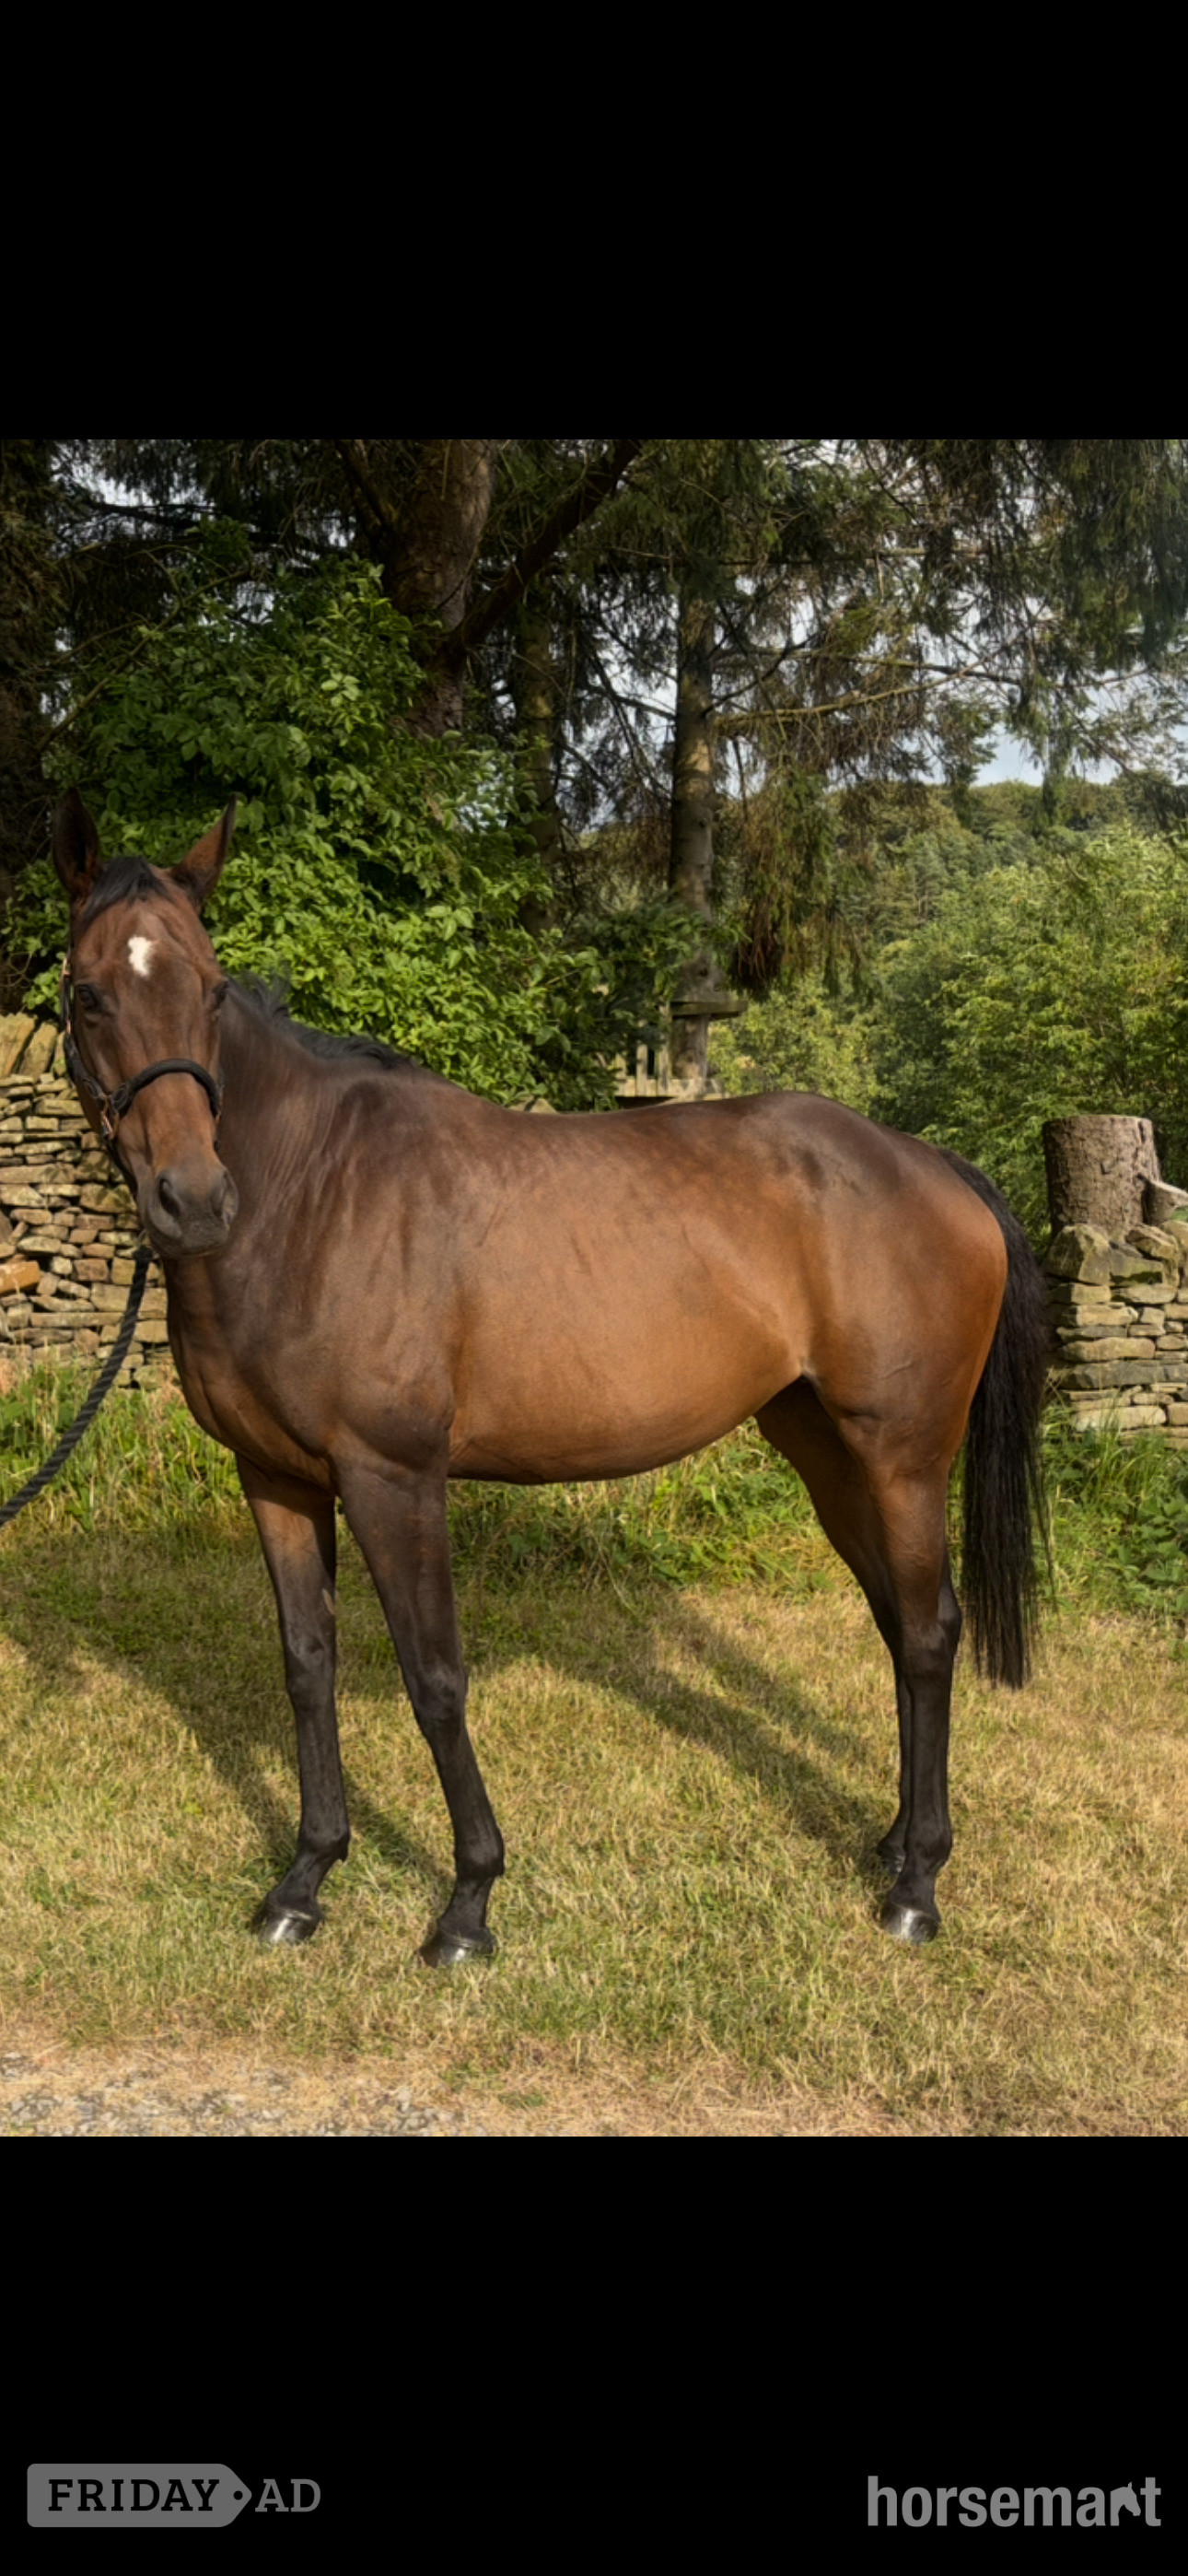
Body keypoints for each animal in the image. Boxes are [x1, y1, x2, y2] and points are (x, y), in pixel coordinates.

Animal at [52, 789, 1050, 1960]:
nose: (193, 1199)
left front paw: (468, 1904)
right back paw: (893, 1849)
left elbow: (435, 1678)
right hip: (827, 1454)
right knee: (901, 1623)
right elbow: (308, 1665)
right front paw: (303, 1881)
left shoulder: (393, 1479)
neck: (307, 1193)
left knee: (932, 1636)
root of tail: (934, 1165)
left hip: (901, 1459)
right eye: (88, 994)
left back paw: (917, 1889)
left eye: (210, 990)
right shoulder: (279, 1479)